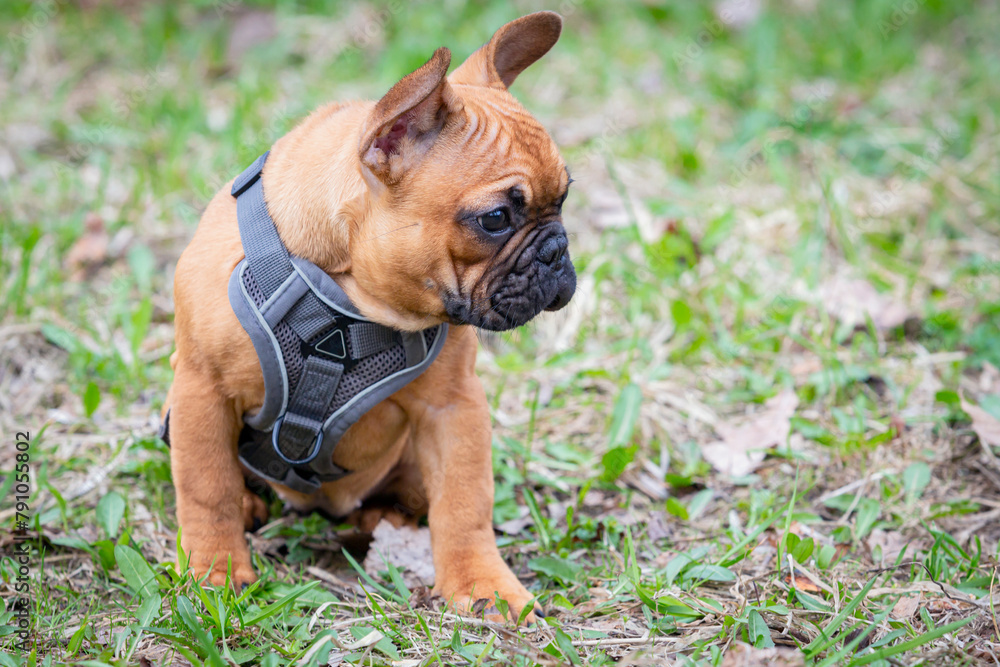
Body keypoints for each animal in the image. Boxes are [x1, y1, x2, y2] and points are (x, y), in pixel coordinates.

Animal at [160, 13, 576, 624]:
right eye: (496, 218)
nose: (556, 252)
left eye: (564, 198)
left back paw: (383, 518)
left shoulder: (454, 408)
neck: (348, 299)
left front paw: (484, 585)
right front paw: (214, 573)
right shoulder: (201, 392)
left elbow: (464, 503)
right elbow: (205, 488)